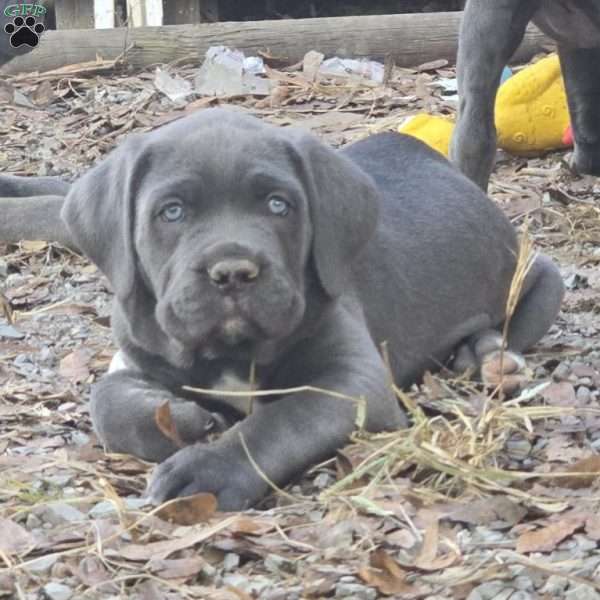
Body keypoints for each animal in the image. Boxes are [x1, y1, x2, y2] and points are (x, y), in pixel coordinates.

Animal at [0, 110, 564, 508]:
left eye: (278, 204)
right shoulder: (136, 354)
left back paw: (487, 357)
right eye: (172, 212)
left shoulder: (353, 382)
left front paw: (209, 469)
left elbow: (281, 419)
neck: (230, 351)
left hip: (539, 273)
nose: (232, 271)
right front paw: (181, 418)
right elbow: (106, 403)